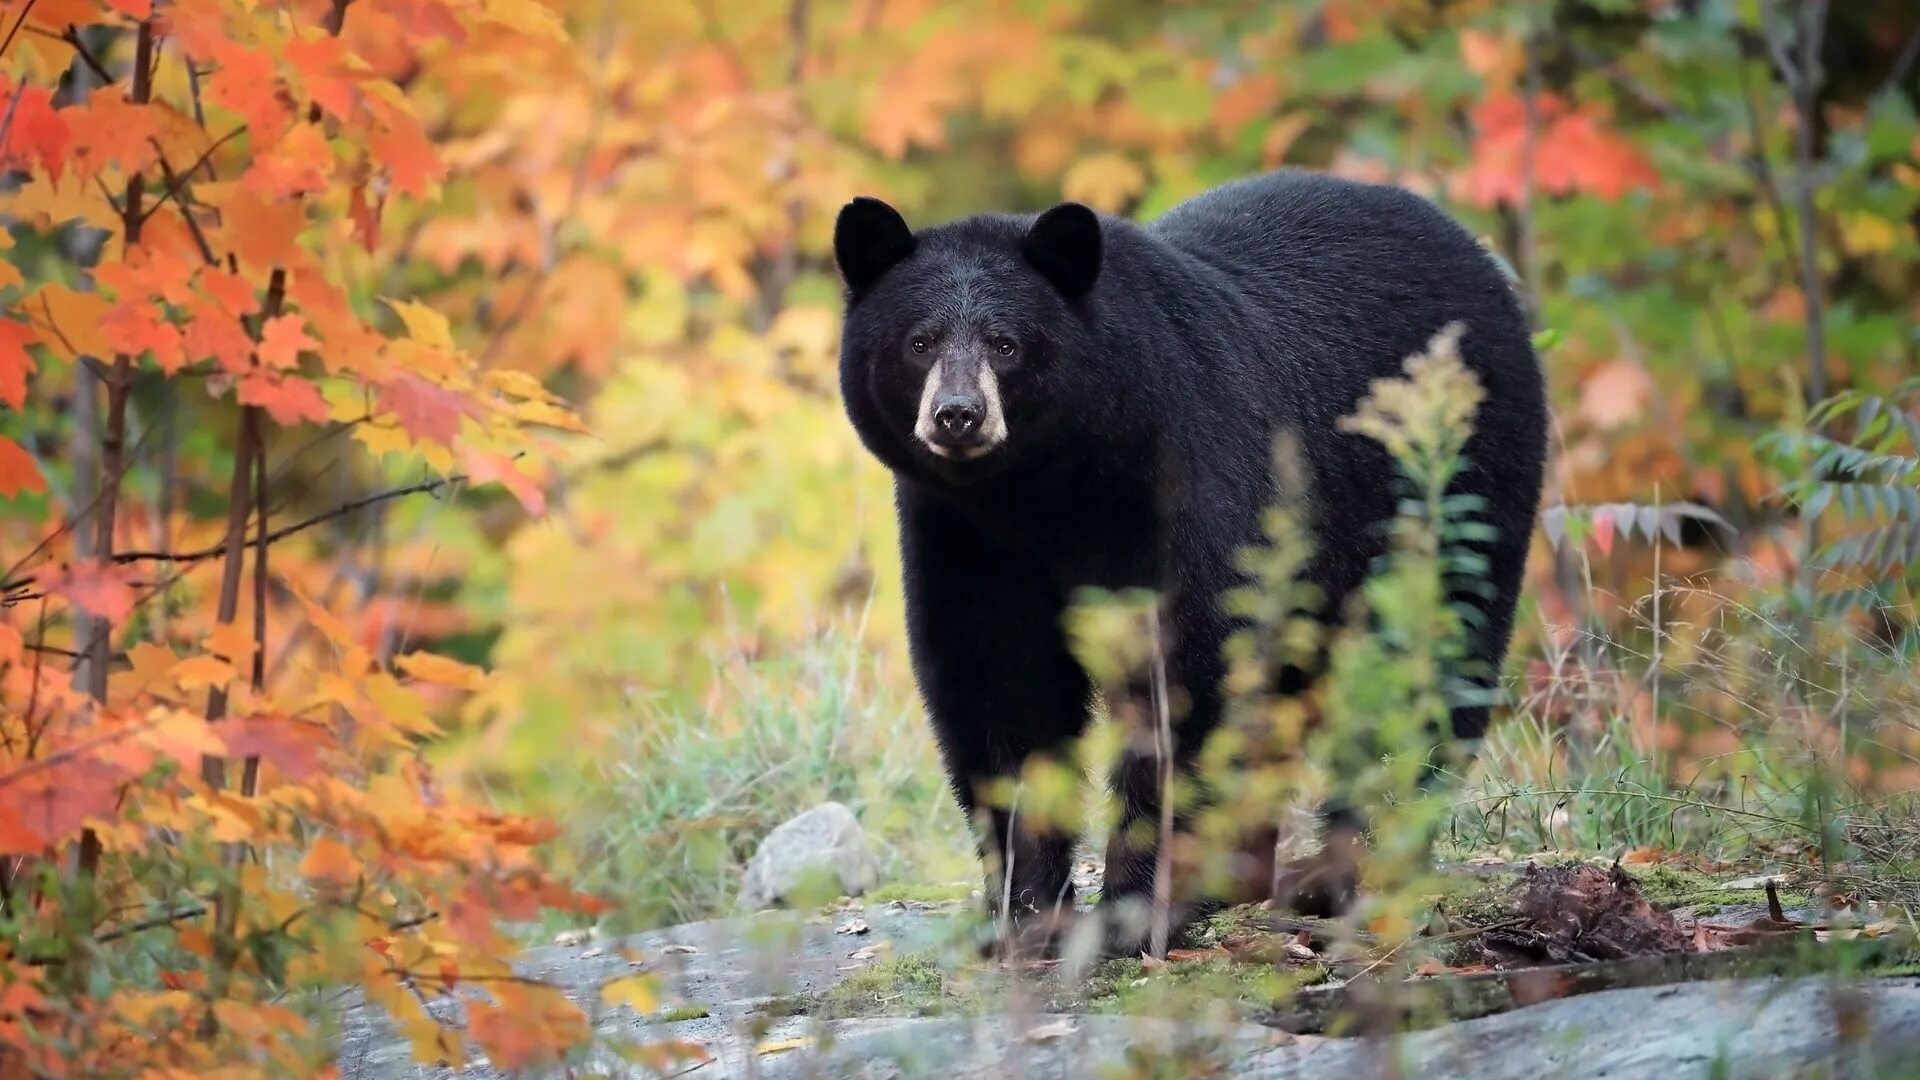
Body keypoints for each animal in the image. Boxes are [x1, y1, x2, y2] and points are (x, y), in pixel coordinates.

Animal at [832, 169, 1549, 958]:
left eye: (1007, 343)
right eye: (919, 341)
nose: (958, 414)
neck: (1047, 485)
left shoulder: (1191, 471)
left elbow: (1192, 670)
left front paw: (1137, 907)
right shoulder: (963, 533)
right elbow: (997, 683)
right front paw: (1024, 911)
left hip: (1453, 482)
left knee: (1427, 657)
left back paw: (1351, 869)